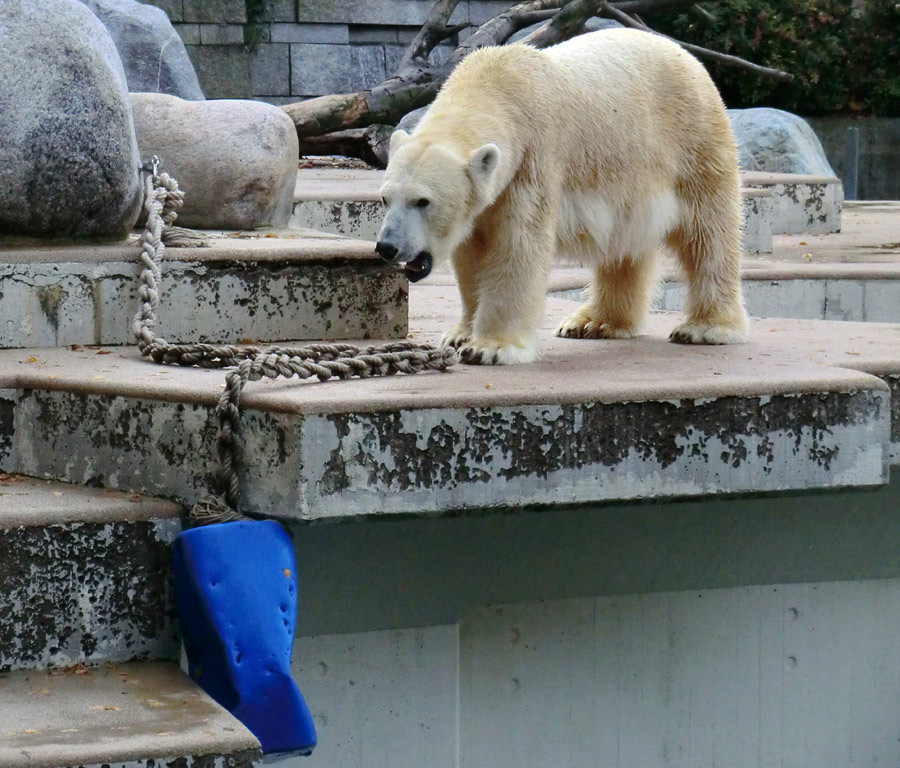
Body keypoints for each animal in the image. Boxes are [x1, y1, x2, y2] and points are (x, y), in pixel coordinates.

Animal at [376, 28, 748, 364]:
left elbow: (516, 245)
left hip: (693, 146)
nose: (387, 246)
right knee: (625, 243)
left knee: (708, 235)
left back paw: (706, 328)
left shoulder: (533, 159)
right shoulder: (487, 196)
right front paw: (459, 335)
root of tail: (688, 56)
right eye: (385, 198)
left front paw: (491, 348)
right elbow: (472, 253)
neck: (494, 88)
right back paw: (595, 322)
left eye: (423, 201)